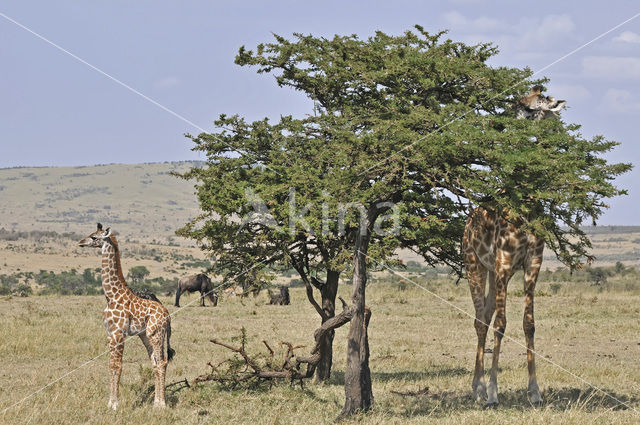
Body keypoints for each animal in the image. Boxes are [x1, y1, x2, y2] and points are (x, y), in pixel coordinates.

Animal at [79, 224, 175, 410]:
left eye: (94, 237)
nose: (80, 242)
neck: (111, 295)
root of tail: (167, 315)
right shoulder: (110, 335)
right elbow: (111, 366)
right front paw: (109, 403)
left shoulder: (119, 334)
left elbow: (118, 366)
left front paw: (115, 405)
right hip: (145, 335)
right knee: (154, 362)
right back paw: (155, 402)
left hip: (156, 334)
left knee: (162, 362)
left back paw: (161, 404)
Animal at [464, 87, 564, 408]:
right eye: (515, 101)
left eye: (532, 108)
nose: (501, 121)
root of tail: (468, 221)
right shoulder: (504, 265)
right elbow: (502, 324)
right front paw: (494, 393)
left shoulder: (533, 264)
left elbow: (528, 324)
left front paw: (535, 392)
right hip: (475, 266)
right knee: (480, 321)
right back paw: (479, 389)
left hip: (491, 273)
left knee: (484, 317)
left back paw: (479, 386)